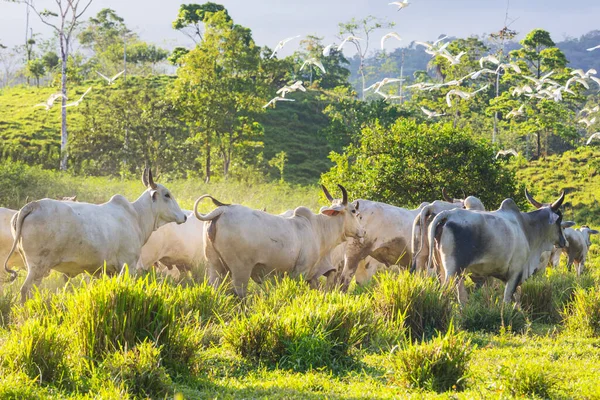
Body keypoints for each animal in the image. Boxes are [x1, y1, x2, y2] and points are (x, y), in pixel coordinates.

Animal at [4, 167, 188, 302]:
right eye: (167, 195)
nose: (184, 216)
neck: (136, 216)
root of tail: (32, 205)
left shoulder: (106, 271)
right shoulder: (128, 265)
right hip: (38, 266)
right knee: (25, 290)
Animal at [192, 185, 364, 296]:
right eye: (353, 211)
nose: (363, 231)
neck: (318, 229)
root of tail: (221, 210)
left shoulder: (312, 276)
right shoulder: (300, 272)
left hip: (214, 266)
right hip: (240, 269)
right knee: (239, 293)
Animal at [424, 191, 568, 304]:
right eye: (559, 219)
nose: (564, 241)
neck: (527, 227)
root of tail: (447, 215)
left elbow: (516, 298)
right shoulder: (515, 272)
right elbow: (507, 299)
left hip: (441, 269)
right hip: (453, 270)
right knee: (445, 292)